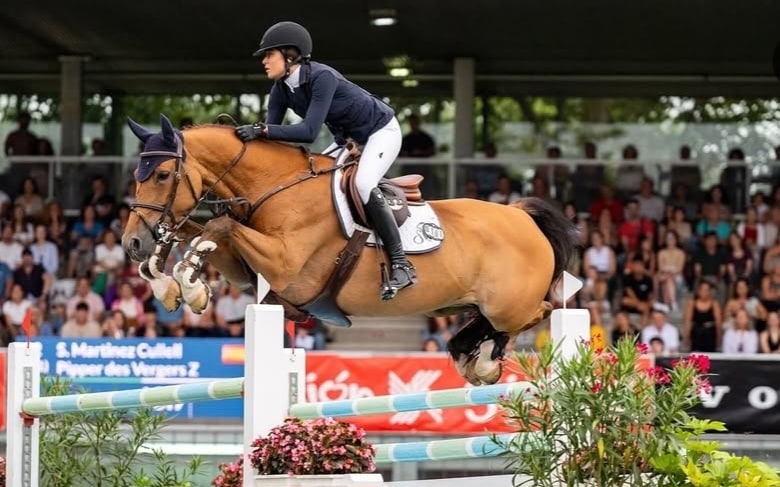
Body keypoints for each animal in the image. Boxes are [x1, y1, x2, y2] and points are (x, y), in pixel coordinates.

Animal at [119, 116, 576, 386]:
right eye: (136, 174)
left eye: (162, 175)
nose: (131, 243)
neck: (276, 186)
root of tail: (522, 216)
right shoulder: (246, 269)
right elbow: (197, 232)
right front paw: (167, 283)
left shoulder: (287, 266)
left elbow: (217, 226)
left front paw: (188, 285)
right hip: (467, 302)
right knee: (487, 321)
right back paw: (467, 352)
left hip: (509, 305)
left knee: (540, 312)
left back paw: (485, 361)